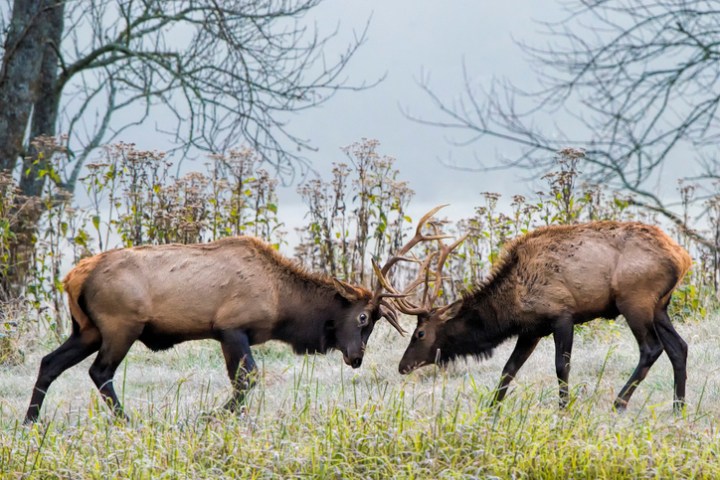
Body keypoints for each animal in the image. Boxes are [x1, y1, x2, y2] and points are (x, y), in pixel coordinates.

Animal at [23, 234, 410, 422]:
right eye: (363, 318)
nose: (356, 357)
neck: (282, 303)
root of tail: (72, 277)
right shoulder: (231, 327)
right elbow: (247, 377)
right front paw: (211, 415)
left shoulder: (227, 333)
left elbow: (239, 379)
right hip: (121, 326)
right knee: (100, 371)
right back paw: (127, 420)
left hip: (86, 330)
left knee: (49, 363)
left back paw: (30, 422)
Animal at [380, 221, 696, 412]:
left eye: (420, 333)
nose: (402, 366)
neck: (509, 307)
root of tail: (683, 258)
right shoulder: (531, 329)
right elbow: (508, 369)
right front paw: (491, 410)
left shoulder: (562, 314)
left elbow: (561, 367)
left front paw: (564, 409)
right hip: (660, 306)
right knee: (678, 347)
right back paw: (678, 408)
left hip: (635, 299)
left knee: (651, 348)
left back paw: (619, 404)